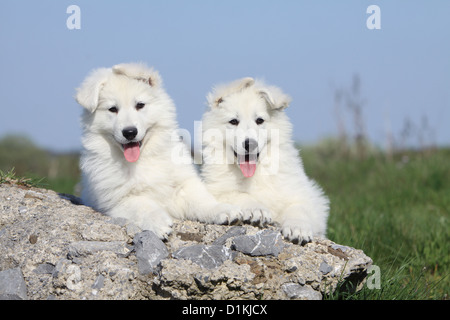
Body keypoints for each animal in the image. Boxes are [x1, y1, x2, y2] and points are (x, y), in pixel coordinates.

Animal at [76, 62, 243, 239]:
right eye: (113, 109)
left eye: (140, 105)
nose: (130, 132)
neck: (142, 158)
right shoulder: (118, 199)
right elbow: (143, 205)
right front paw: (158, 222)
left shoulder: (183, 185)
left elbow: (202, 200)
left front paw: (223, 209)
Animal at [202, 77, 328, 242]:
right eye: (233, 121)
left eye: (259, 120)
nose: (250, 144)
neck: (255, 174)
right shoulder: (215, 189)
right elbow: (238, 194)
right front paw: (257, 209)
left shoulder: (305, 196)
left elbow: (299, 206)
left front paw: (298, 227)